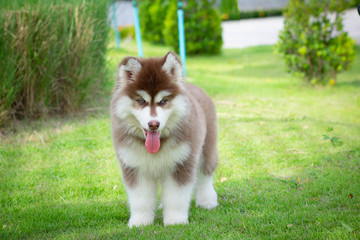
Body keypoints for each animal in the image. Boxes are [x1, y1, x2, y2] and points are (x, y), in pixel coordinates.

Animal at [109, 51, 218, 226]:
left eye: (163, 101)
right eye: (141, 101)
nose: (154, 124)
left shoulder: (181, 162)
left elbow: (176, 197)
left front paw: (175, 221)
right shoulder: (135, 167)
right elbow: (140, 199)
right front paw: (140, 222)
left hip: (207, 147)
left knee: (205, 174)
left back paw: (207, 200)